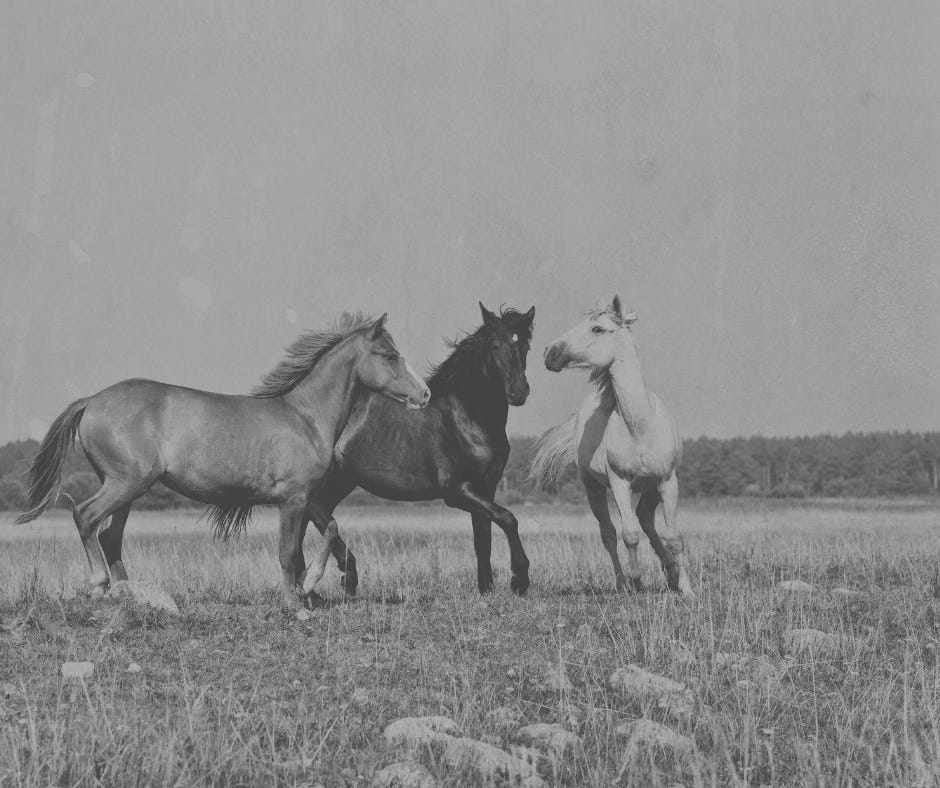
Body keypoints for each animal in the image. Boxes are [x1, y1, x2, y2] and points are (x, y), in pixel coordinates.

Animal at [16, 312, 430, 611]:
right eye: (391, 355)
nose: (424, 394)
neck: (305, 417)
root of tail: (91, 401)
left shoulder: (306, 497)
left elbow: (328, 530)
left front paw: (310, 586)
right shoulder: (292, 499)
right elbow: (288, 552)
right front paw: (296, 602)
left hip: (129, 490)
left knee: (109, 535)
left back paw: (131, 592)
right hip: (125, 483)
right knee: (85, 516)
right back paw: (100, 585)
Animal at [288, 302, 535, 597]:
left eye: (526, 346)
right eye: (495, 346)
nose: (519, 392)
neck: (470, 417)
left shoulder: (486, 487)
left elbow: (483, 538)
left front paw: (486, 588)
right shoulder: (457, 491)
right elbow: (508, 518)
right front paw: (519, 579)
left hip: (341, 481)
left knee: (308, 521)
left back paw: (313, 586)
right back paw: (337, 579)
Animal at [530, 295, 694, 597]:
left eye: (597, 329)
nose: (550, 352)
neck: (640, 427)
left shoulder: (667, 481)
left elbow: (674, 536)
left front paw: (686, 588)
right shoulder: (620, 482)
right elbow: (629, 534)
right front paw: (637, 581)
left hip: (651, 488)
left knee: (646, 520)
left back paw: (671, 572)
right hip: (593, 488)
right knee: (609, 533)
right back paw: (622, 583)